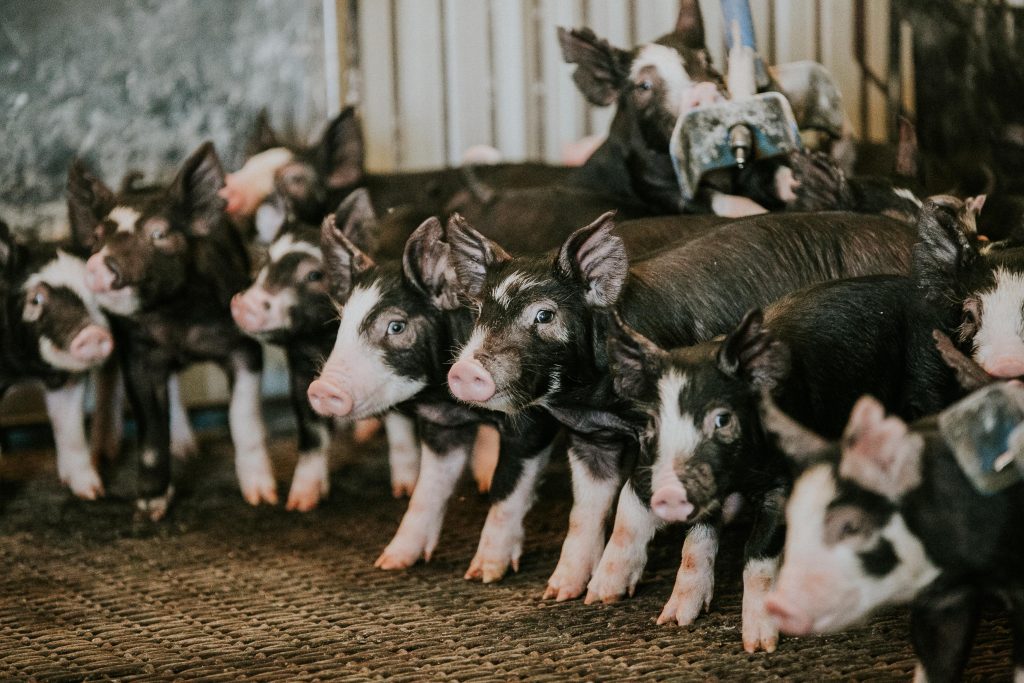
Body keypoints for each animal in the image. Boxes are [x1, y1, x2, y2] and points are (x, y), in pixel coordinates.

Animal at [0, 220, 114, 498]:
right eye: (36, 299)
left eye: (96, 291)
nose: (93, 333)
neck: (27, 372)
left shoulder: (68, 381)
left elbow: (70, 427)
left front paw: (93, 493)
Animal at [67, 143, 276, 520]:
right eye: (98, 239)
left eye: (159, 234)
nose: (96, 266)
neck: (176, 321)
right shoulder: (138, 356)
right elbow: (151, 433)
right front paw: (149, 510)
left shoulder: (244, 347)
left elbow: (242, 417)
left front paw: (263, 498)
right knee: (109, 381)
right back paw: (104, 455)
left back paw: (188, 450)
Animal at [230, 189, 420, 506]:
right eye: (265, 263)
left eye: (314, 275)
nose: (246, 303)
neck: (322, 341)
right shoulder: (301, 370)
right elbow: (311, 433)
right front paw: (298, 503)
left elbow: (401, 427)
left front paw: (405, 491)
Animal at [445, 210, 917, 602]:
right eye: (480, 312)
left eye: (544, 315)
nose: (464, 371)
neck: (592, 400)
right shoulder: (590, 437)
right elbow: (585, 511)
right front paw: (559, 592)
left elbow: (630, 504)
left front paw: (604, 594)